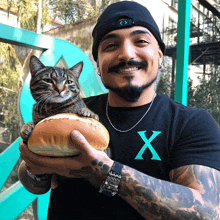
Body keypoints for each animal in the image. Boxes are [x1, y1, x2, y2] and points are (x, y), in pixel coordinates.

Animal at [20, 55, 109, 189]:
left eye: (68, 82)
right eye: (48, 80)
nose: (59, 89)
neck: (53, 108)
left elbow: (92, 115)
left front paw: (87, 112)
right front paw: (26, 128)